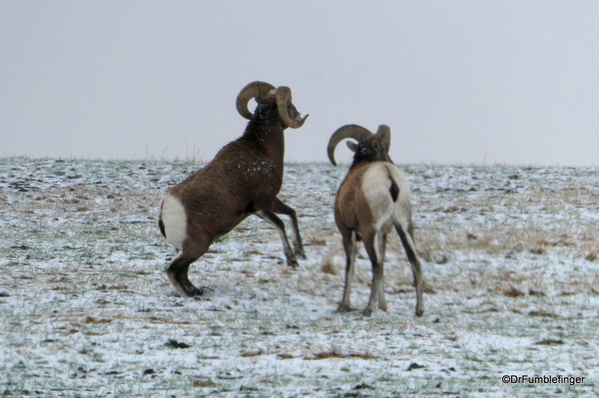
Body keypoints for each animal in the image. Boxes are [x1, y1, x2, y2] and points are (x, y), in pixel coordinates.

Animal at [158, 81, 310, 298]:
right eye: (289, 104)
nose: (298, 115)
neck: (261, 150)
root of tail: (166, 208)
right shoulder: (268, 200)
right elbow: (291, 214)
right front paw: (300, 254)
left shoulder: (258, 209)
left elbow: (280, 223)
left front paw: (292, 259)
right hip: (196, 247)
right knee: (173, 270)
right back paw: (189, 296)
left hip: (190, 249)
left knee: (183, 272)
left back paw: (196, 291)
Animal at [330, 124, 424, 318]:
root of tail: (389, 177)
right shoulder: (384, 234)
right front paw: (384, 306)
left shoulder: (347, 232)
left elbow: (349, 267)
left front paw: (344, 305)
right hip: (404, 226)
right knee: (414, 261)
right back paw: (419, 309)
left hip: (369, 232)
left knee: (377, 264)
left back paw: (368, 308)